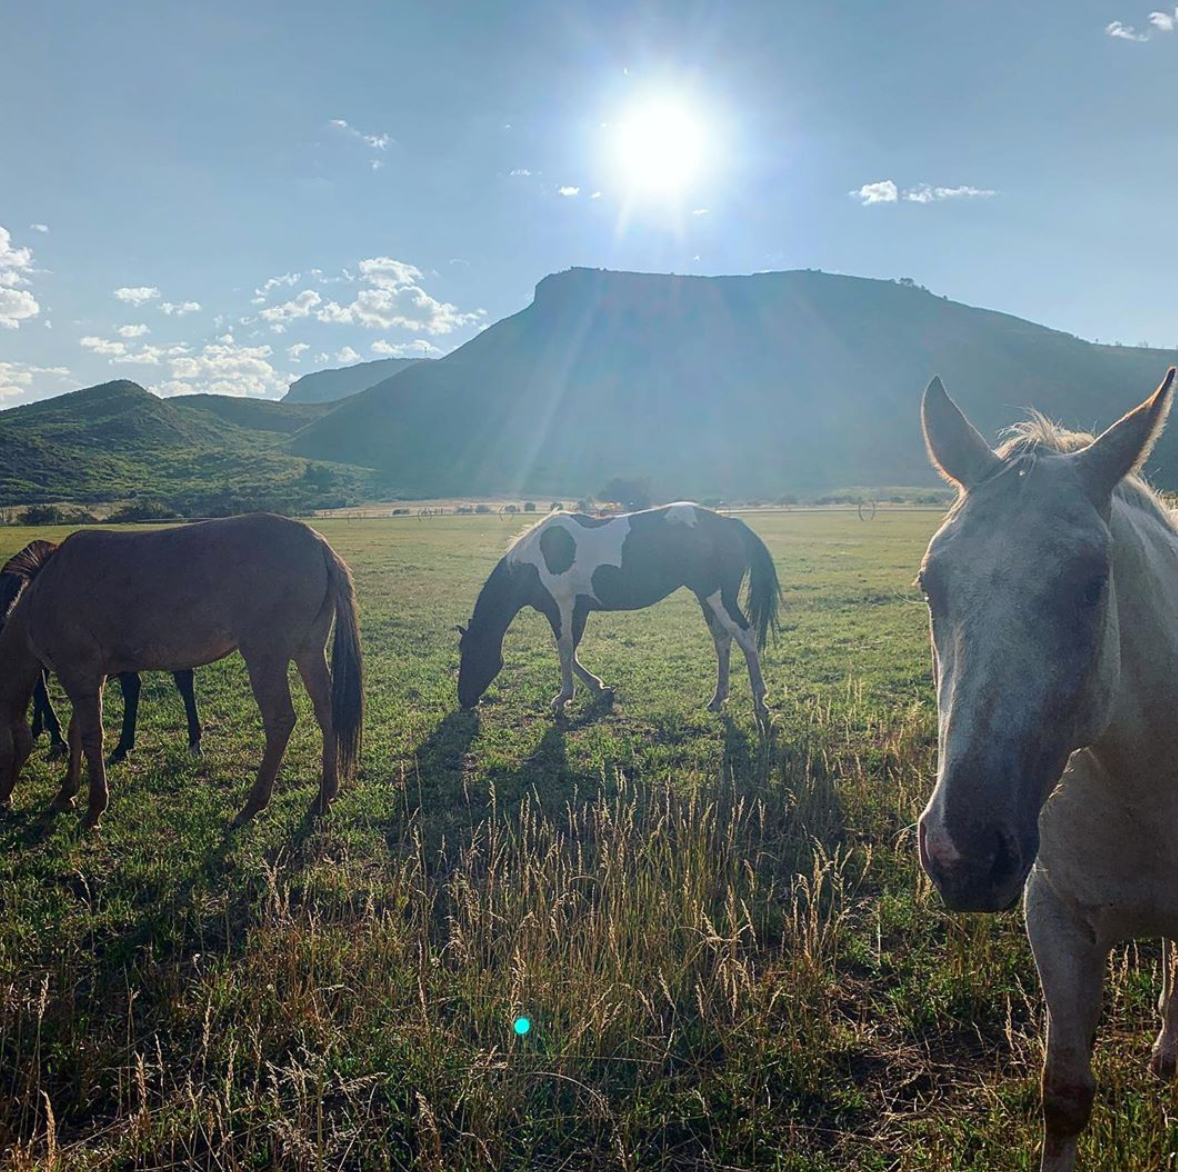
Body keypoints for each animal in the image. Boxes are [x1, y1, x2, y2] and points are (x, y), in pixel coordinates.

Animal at [459, 501, 782, 716]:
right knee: (723, 641)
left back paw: (760, 699)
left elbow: (564, 651)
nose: (464, 700)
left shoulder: (562, 607)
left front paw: (563, 698)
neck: (537, 557)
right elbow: (572, 652)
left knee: (745, 635)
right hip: (707, 598)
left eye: (470, 654)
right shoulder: (578, 610)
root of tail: (729, 524)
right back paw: (718, 699)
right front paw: (600, 689)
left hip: (718, 597)